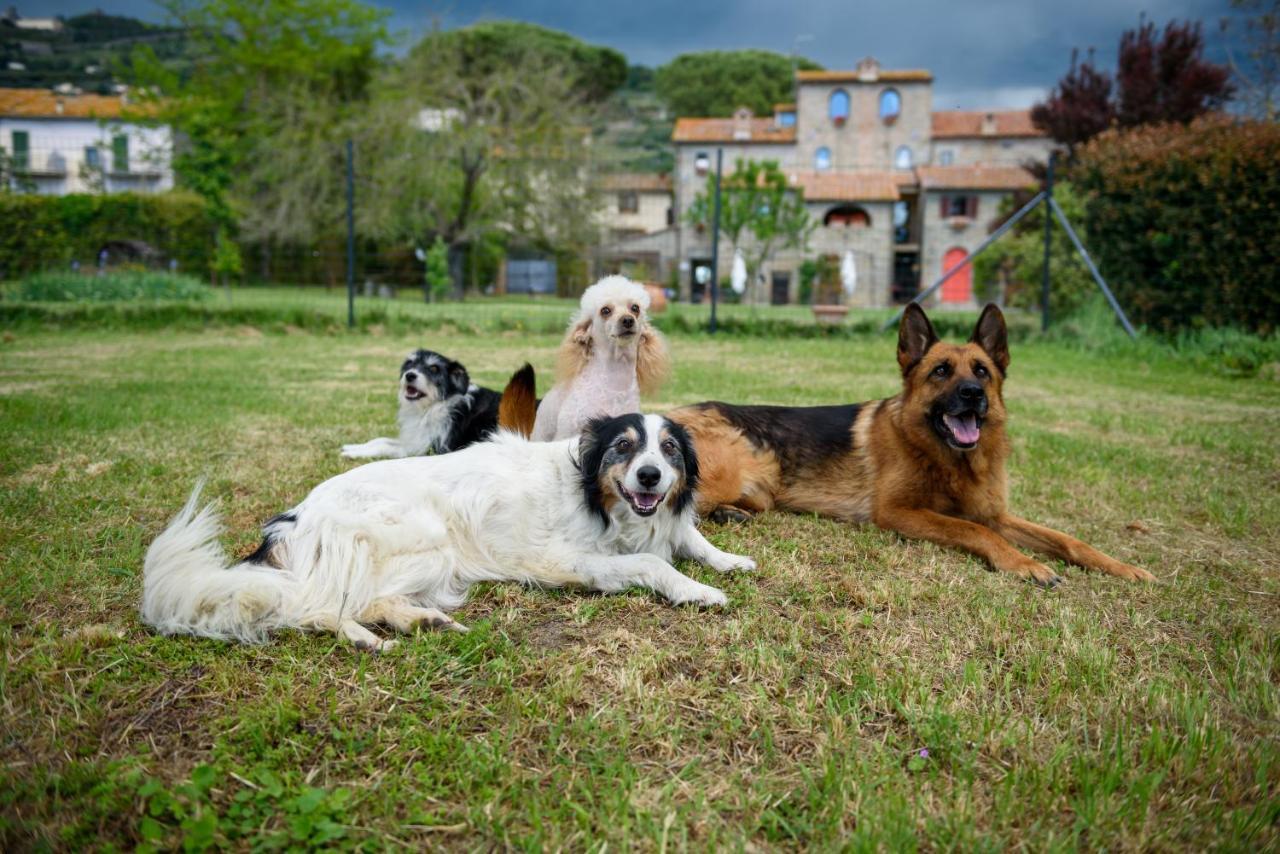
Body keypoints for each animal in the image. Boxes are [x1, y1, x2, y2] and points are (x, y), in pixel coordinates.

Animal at [145, 414, 752, 647]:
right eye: (624, 447)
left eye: (668, 450)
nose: (650, 476)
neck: (595, 493)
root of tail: (295, 520)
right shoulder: (567, 561)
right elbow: (652, 561)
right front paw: (697, 590)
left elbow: (689, 536)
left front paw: (729, 561)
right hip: (429, 539)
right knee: (320, 606)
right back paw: (368, 636)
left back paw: (422, 621)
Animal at [343, 348, 501, 460]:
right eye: (409, 363)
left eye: (434, 368)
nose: (410, 375)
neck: (433, 407)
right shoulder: (415, 439)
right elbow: (381, 440)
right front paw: (352, 447)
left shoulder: (426, 449)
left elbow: (385, 447)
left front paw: (353, 454)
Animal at [665, 302, 1157, 588]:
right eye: (940, 371)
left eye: (981, 372)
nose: (972, 395)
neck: (950, 460)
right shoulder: (900, 513)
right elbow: (974, 531)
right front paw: (1023, 564)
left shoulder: (995, 514)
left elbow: (1068, 538)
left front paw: (1122, 566)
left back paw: (731, 515)